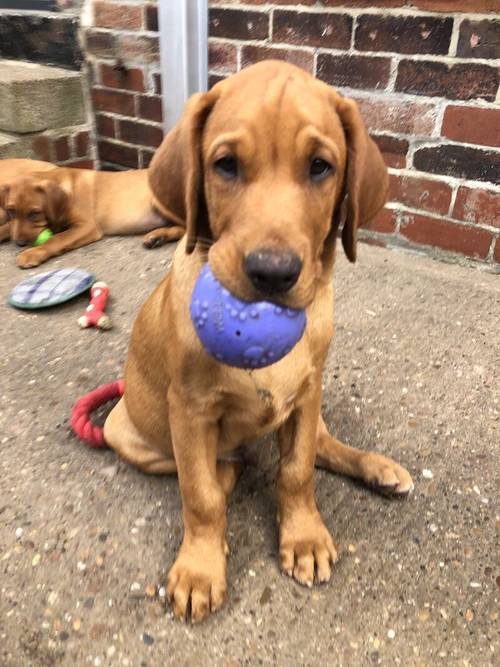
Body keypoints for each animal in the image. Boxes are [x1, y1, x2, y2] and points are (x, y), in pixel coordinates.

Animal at [0, 158, 184, 268]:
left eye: (35, 213)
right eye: (10, 211)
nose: (20, 243)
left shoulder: (87, 226)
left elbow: (58, 239)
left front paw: (32, 253)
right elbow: (8, 226)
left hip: (159, 200)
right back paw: (157, 237)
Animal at [103, 60, 412, 624]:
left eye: (320, 167)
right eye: (225, 165)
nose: (272, 273)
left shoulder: (308, 394)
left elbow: (297, 472)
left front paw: (304, 537)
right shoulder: (189, 409)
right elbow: (199, 495)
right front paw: (200, 569)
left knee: (323, 448)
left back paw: (378, 468)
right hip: (125, 430)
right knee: (212, 473)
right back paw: (230, 473)